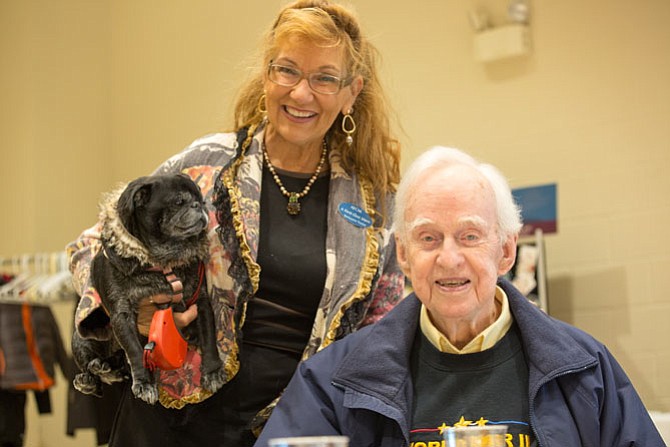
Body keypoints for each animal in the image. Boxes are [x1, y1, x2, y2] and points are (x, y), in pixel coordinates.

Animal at [72, 174, 227, 406]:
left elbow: (209, 338)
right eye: (179, 201)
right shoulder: (122, 316)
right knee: (94, 371)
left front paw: (213, 371)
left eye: (200, 197)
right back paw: (93, 376)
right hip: (82, 337)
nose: (200, 204)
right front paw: (145, 383)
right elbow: (136, 352)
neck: (162, 264)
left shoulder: (200, 303)